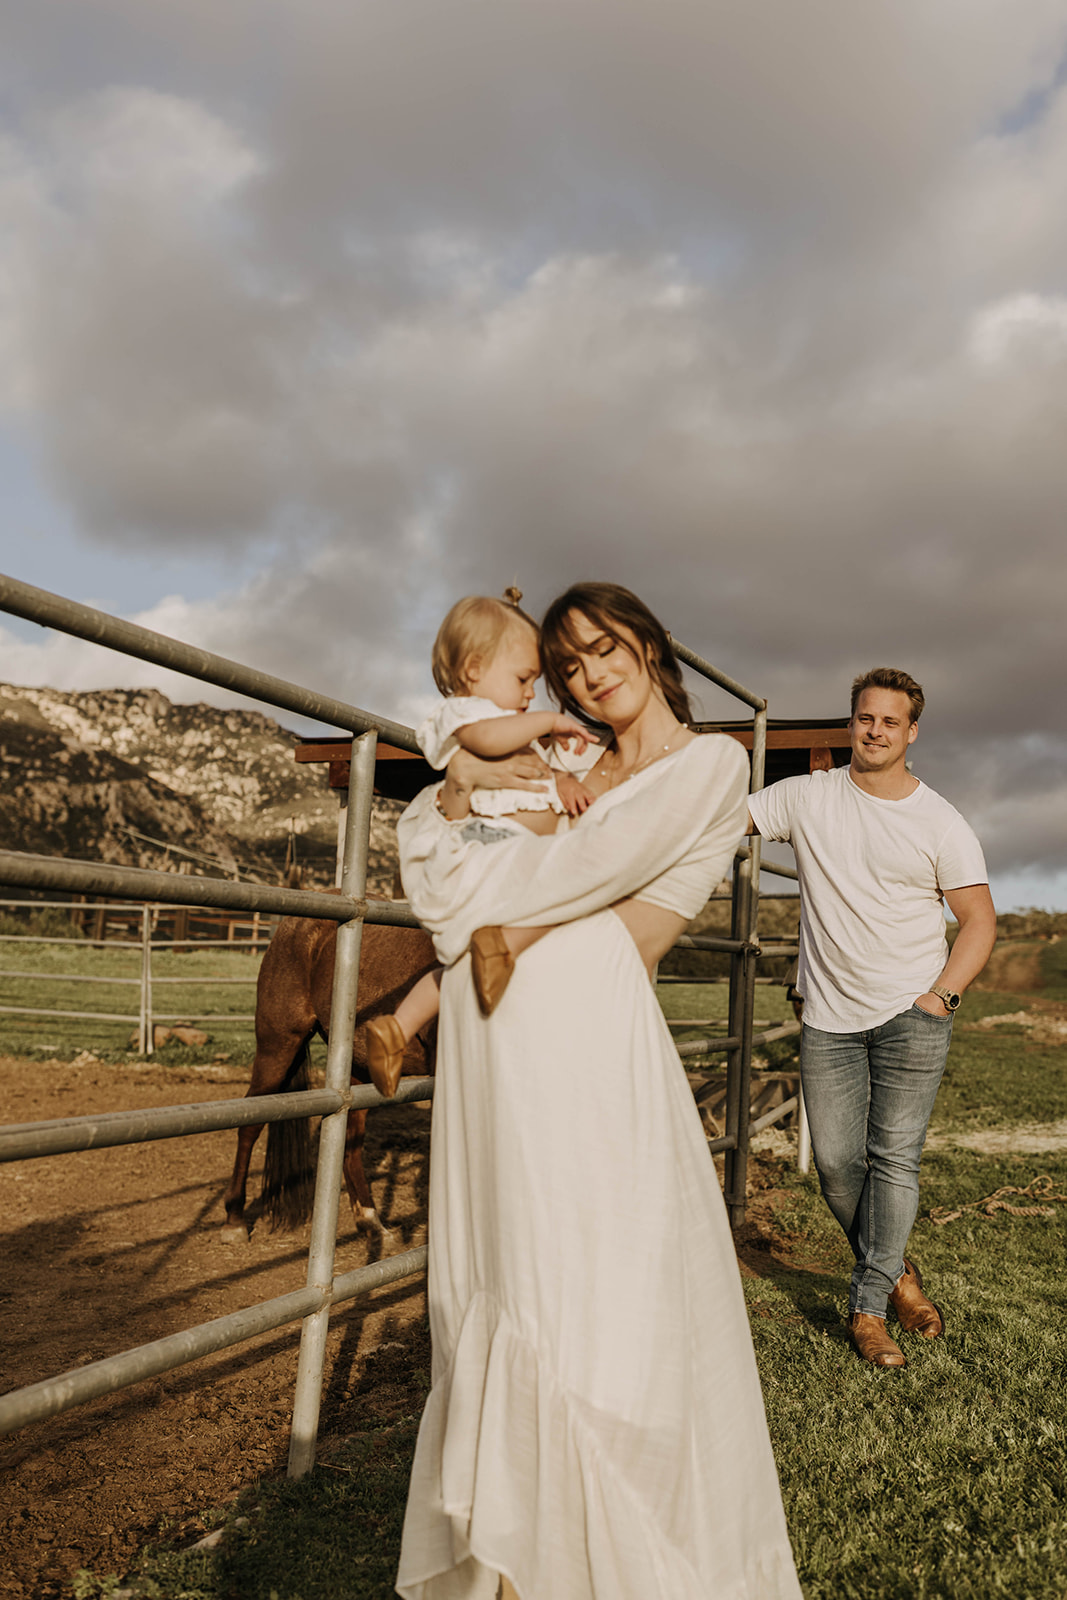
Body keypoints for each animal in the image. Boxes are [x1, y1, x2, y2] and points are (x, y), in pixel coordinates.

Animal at [220, 908, 438, 1241]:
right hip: (278, 1048)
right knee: (250, 1124)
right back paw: (234, 1220)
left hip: (357, 1069)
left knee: (350, 1143)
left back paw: (372, 1223)